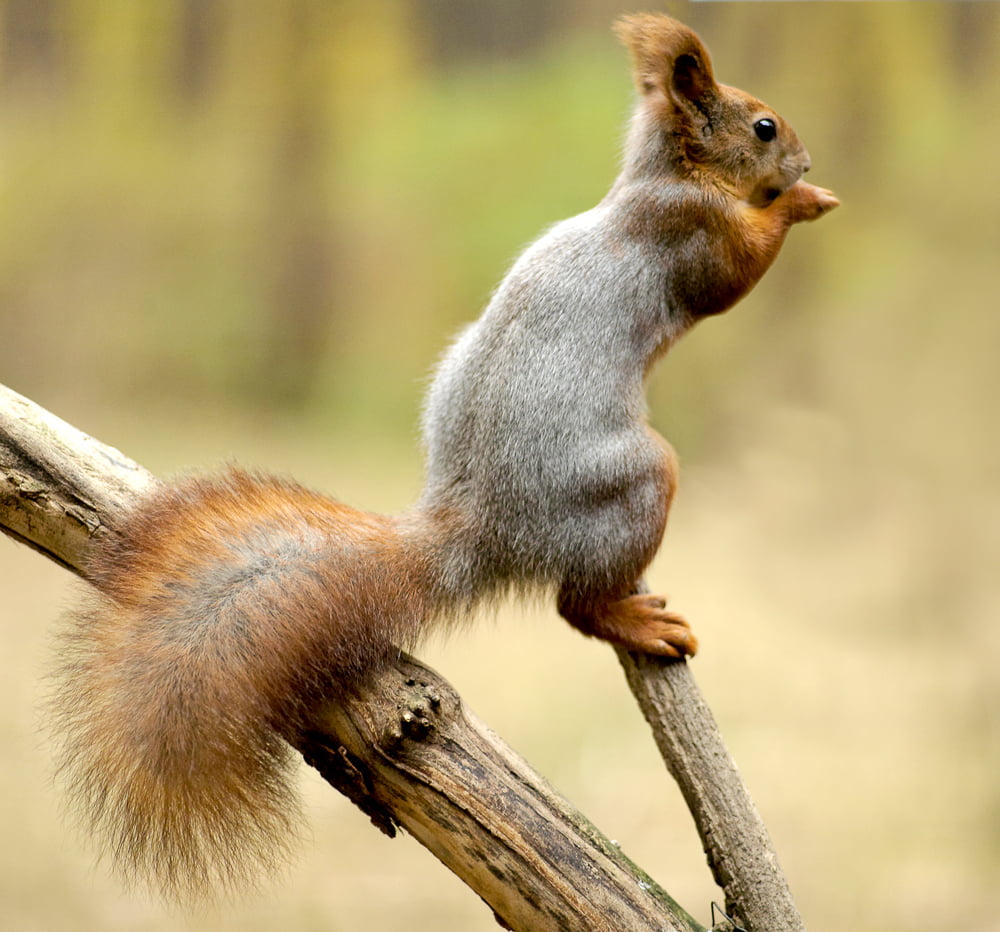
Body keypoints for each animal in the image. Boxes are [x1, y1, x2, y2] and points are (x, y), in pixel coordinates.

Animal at [49, 13, 838, 905]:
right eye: (763, 126)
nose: (807, 160)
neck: (661, 177)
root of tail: (481, 529)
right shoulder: (690, 232)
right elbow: (735, 275)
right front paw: (804, 203)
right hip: (635, 482)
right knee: (577, 606)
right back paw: (635, 617)